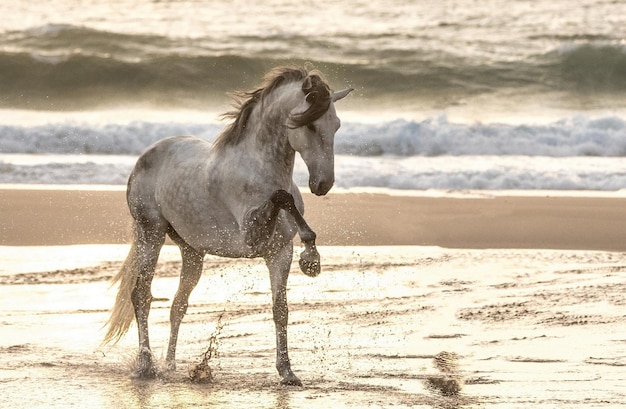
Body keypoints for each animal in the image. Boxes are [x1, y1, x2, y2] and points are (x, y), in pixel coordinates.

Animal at [104, 65, 354, 384]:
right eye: (309, 126)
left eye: (336, 125)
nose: (322, 185)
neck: (258, 168)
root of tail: (144, 158)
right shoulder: (252, 236)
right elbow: (282, 197)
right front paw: (311, 258)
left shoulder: (279, 253)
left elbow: (280, 309)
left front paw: (287, 372)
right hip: (151, 234)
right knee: (141, 296)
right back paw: (147, 366)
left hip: (192, 251)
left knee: (178, 304)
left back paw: (170, 365)